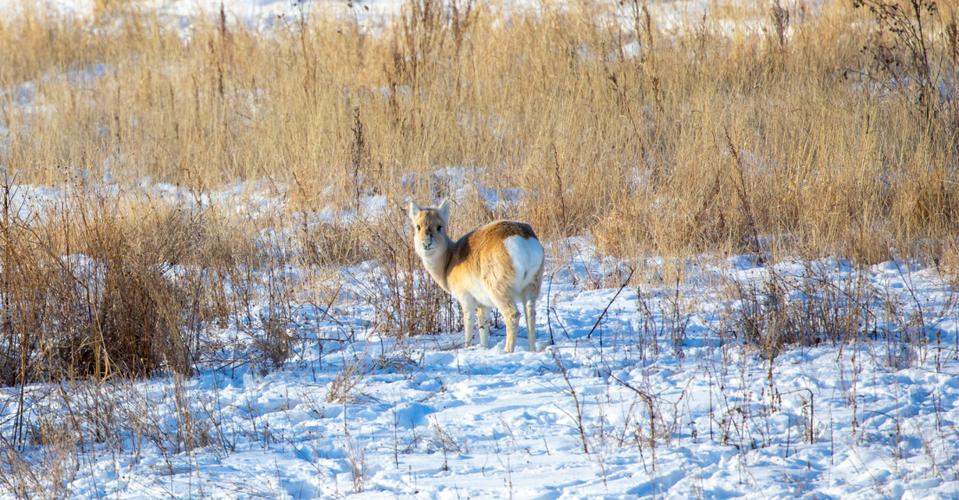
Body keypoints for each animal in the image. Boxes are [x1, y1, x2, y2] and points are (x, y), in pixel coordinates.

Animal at [406, 199, 548, 352]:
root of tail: (522, 239)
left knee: (513, 315)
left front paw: (467, 347)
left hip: (500, 291)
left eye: (439, 226)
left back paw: (507, 351)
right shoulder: (483, 305)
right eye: (418, 226)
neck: (449, 260)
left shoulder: (466, 298)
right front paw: (484, 347)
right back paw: (532, 349)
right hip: (531, 288)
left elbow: (468, 324)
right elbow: (483, 328)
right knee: (530, 314)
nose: (426, 243)